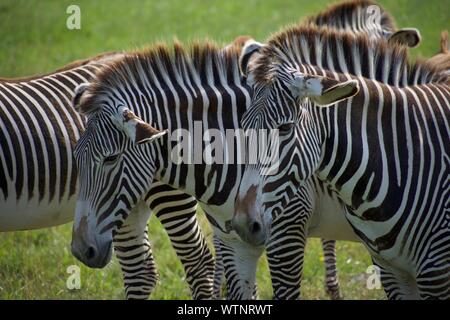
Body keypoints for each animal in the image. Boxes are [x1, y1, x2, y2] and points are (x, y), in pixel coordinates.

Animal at [0, 51, 216, 298]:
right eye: (75, 156)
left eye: (111, 158)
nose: (82, 251)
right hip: (129, 205)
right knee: (141, 271)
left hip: (167, 193)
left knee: (198, 261)